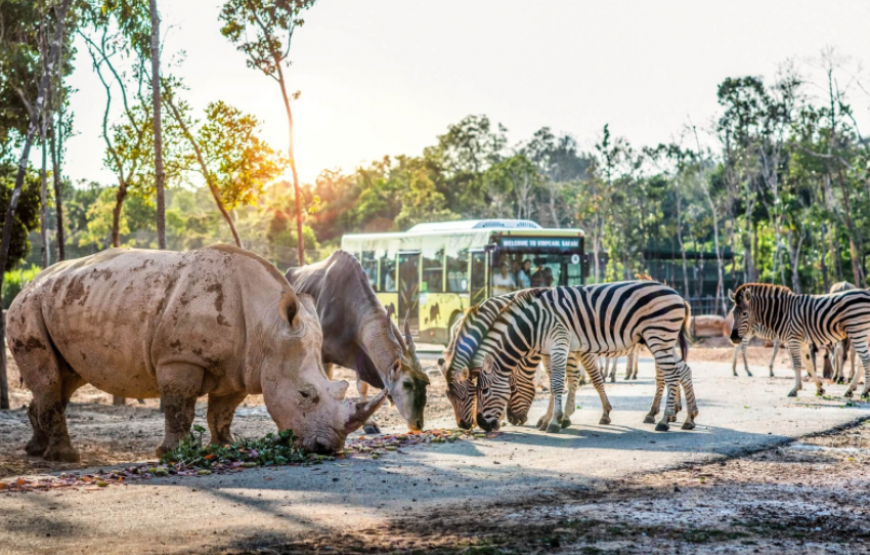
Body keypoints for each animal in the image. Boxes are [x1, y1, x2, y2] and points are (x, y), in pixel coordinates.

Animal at [446, 282, 700, 434]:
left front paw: (556, 421)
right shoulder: (550, 350)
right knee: (683, 370)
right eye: (450, 397)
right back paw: (688, 417)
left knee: (669, 374)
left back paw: (664, 419)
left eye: (482, 391)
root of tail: (677, 294)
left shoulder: (560, 344)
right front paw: (552, 418)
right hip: (660, 339)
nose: (476, 424)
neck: (531, 325)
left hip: (658, 337)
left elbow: (562, 382)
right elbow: (556, 383)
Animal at [732, 282, 870, 400]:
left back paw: (864, 392)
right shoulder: (802, 342)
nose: (733, 337)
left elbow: (797, 364)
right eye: (733, 314)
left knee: (865, 360)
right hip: (864, 335)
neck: (782, 312)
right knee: (861, 362)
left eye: (744, 313)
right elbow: (809, 363)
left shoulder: (793, 339)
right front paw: (819, 388)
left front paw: (795, 389)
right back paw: (850, 390)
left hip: (857, 331)